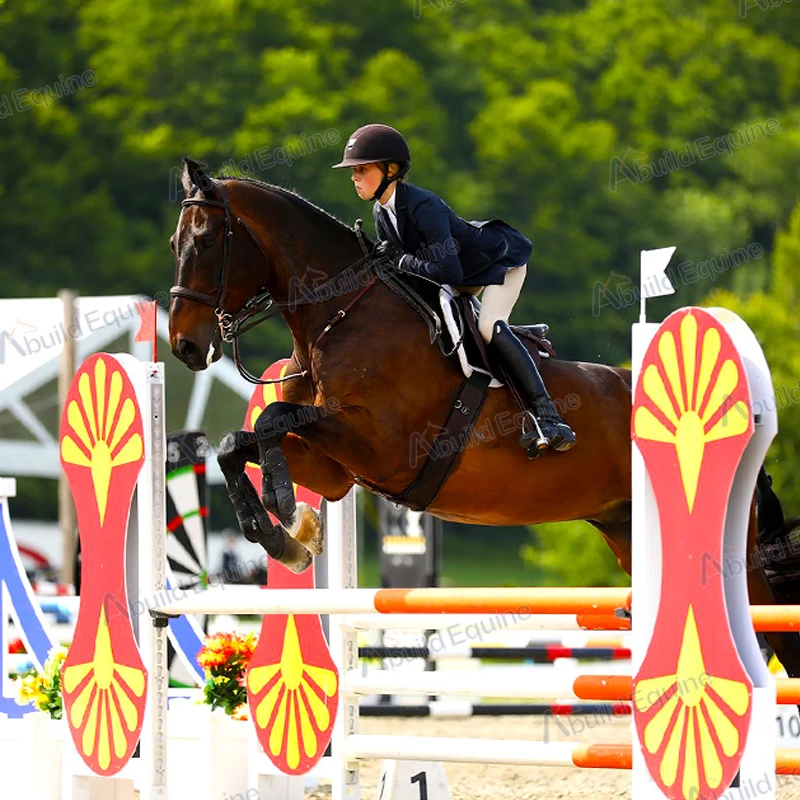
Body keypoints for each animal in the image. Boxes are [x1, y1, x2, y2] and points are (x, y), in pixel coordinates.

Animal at [168, 157, 800, 680]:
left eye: (206, 240)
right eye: (177, 240)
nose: (185, 347)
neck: (338, 314)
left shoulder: (381, 446)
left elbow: (272, 417)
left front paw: (282, 508)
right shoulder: (336, 468)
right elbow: (236, 442)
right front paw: (289, 536)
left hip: (733, 558)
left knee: (769, 623)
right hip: (626, 530)